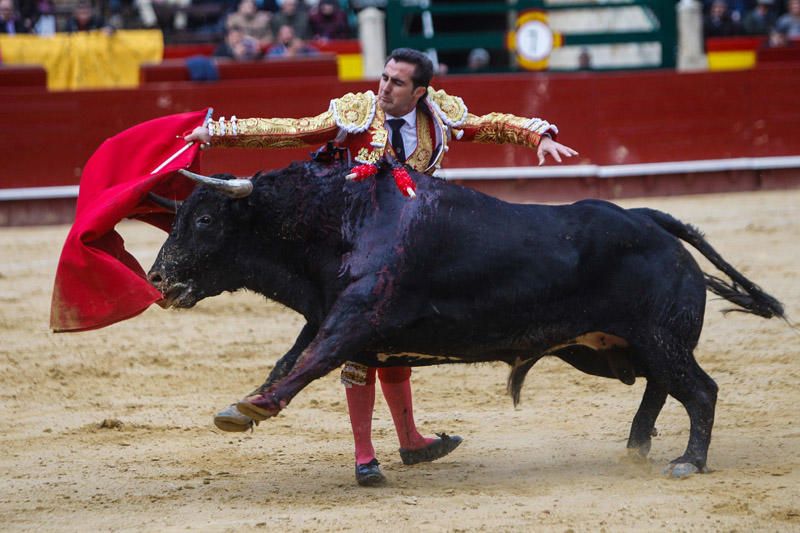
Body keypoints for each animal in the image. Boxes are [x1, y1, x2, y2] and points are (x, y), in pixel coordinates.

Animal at [147, 159, 784, 478]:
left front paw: (253, 407)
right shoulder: (333, 312)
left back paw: (688, 462)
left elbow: (313, 358)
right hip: (609, 346)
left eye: (204, 220)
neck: (341, 219)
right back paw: (636, 446)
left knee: (700, 389)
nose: (157, 280)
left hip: (657, 336)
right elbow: (292, 356)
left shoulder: (357, 314)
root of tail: (652, 221)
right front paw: (244, 405)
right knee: (660, 384)